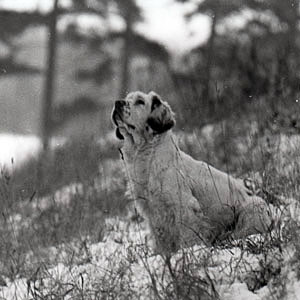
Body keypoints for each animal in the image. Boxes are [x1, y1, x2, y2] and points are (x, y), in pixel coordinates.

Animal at [112, 90, 272, 252]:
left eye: (140, 101)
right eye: (127, 98)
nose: (117, 103)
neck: (148, 156)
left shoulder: (184, 206)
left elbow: (189, 236)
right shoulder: (153, 214)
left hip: (255, 205)